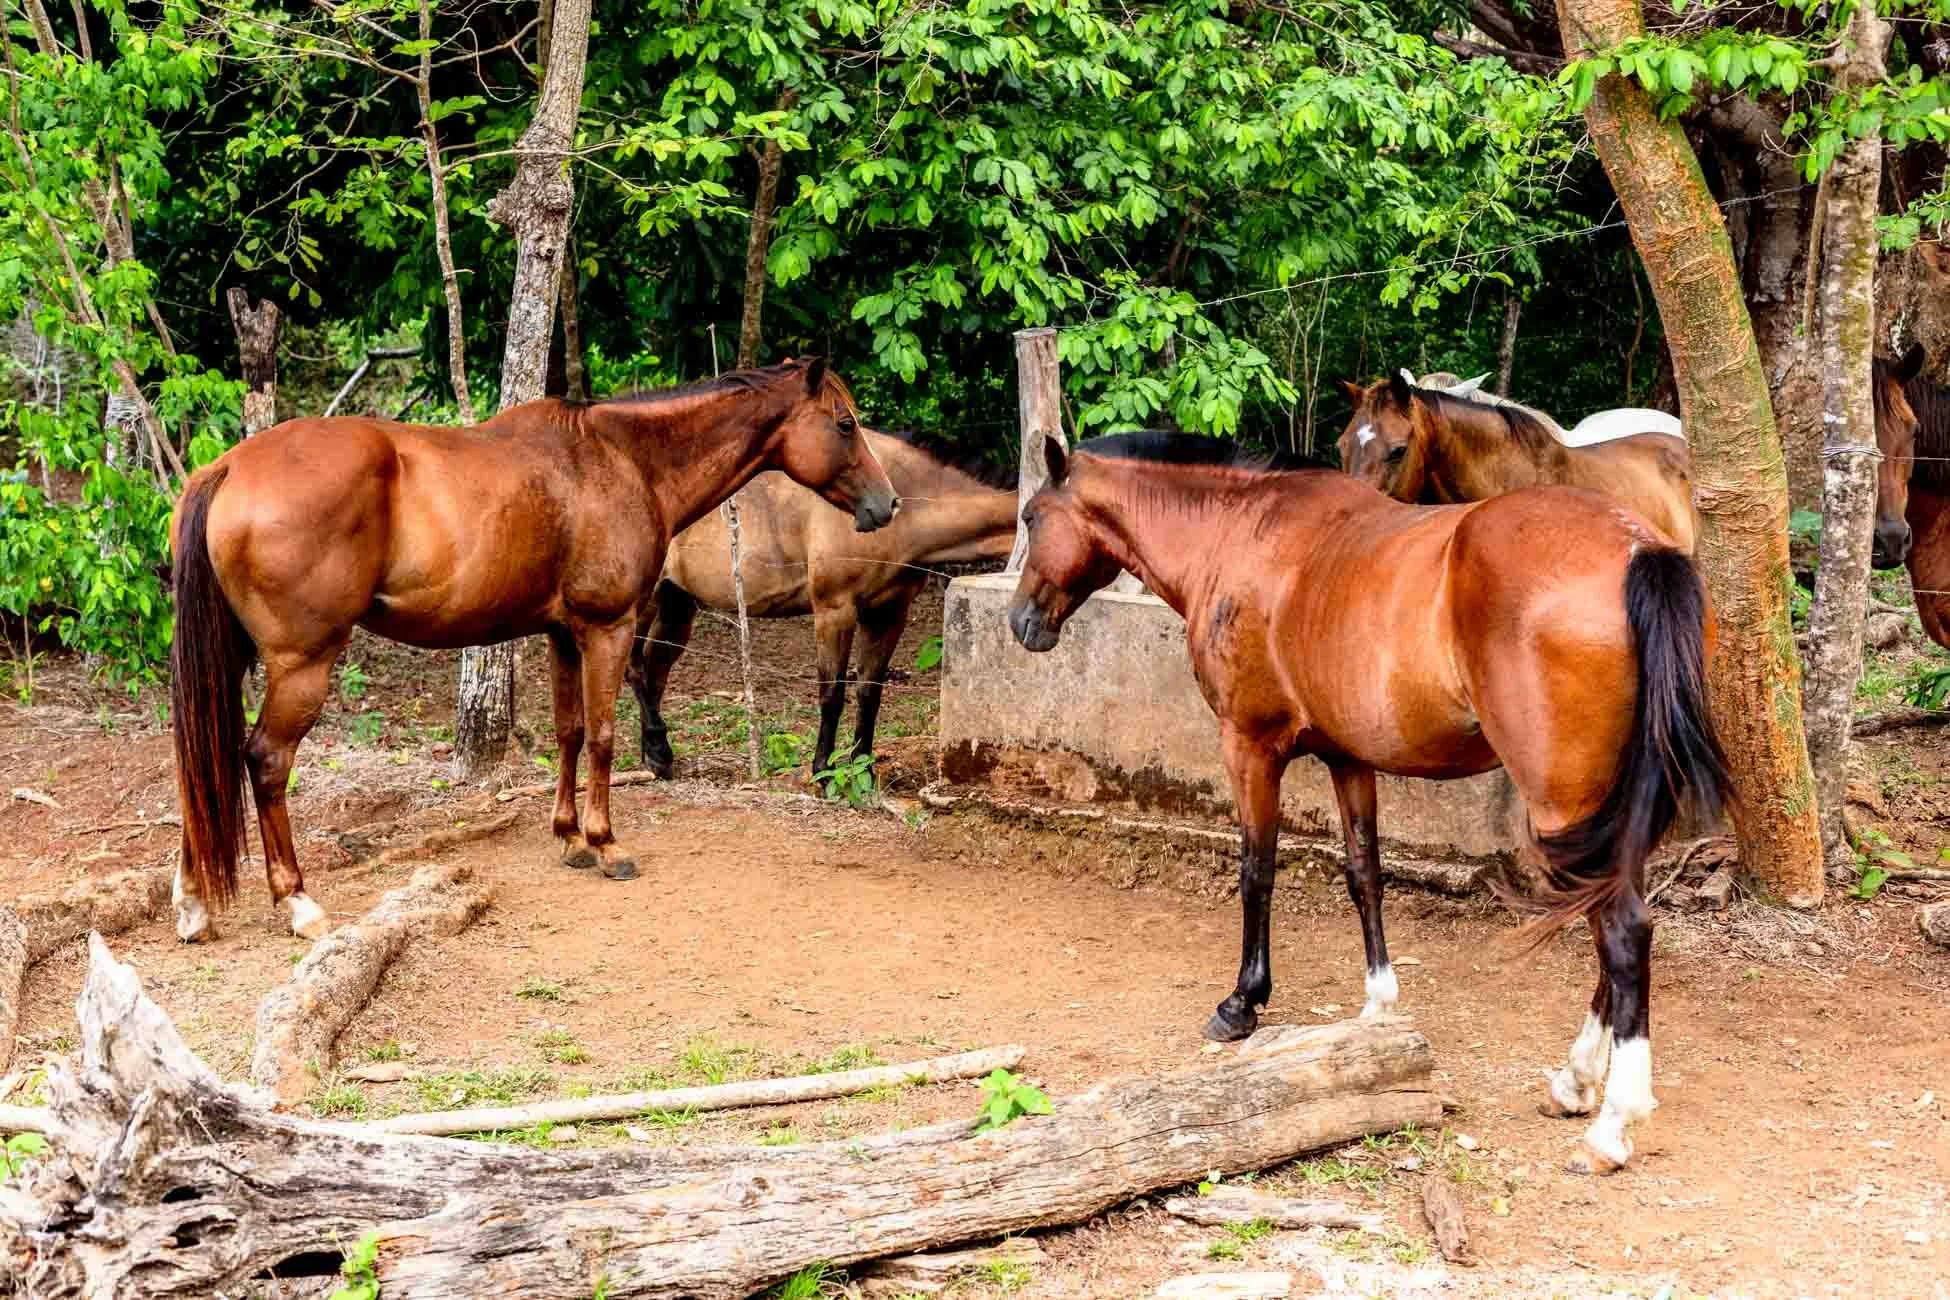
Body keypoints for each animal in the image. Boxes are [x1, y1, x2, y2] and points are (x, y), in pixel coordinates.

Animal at [169, 359, 897, 942]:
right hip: (303, 666)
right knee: (264, 761)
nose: (886, 505)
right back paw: (296, 901)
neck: (621, 460)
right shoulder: (607, 628)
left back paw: (194, 904)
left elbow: (569, 732)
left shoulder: (562, 634)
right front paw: (606, 844)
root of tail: (228, 466)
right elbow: (603, 735)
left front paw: (569, 836)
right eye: (844, 424)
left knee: (200, 759)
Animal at [628, 430, 1018, 778]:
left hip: (677, 603)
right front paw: (823, 772)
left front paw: (864, 771)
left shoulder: (889, 613)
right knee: (634, 669)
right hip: (643, 602)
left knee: (655, 670)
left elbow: (869, 693)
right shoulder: (835, 610)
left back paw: (652, 757)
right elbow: (832, 694)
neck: (904, 508)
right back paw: (658, 751)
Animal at [1007, 432, 1730, 1173]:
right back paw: (1574, 1081)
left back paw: (1612, 1121)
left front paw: (1243, 1002)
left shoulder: (1249, 746)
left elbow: (1256, 871)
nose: (1021, 622)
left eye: (1033, 516)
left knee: (1621, 931)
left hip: (1564, 801)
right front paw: (1380, 1004)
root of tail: (1637, 549)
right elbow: (1365, 875)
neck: (1240, 533)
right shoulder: (1348, 759)